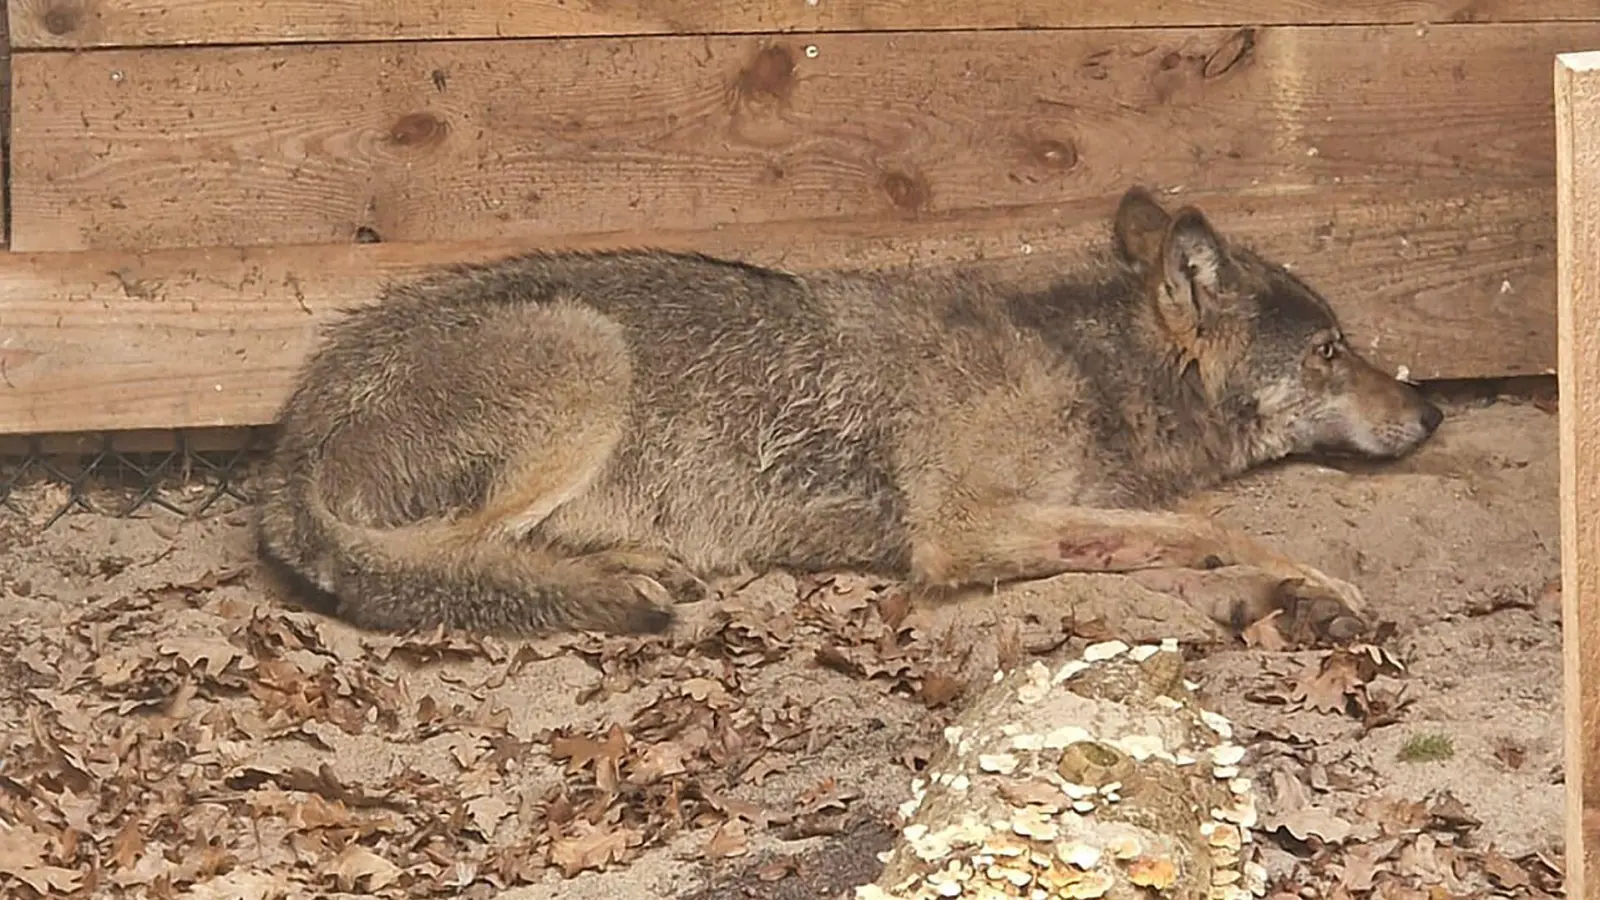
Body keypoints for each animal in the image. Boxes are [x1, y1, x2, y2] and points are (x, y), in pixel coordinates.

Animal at [255, 187, 1443, 643]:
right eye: (1332, 351)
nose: (1431, 410)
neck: (1084, 369)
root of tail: (286, 446)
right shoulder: (960, 532)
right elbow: (1211, 528)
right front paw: (1309, 584)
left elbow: (1164, 547)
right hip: (586, 356)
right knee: (436, 565)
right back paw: (617, 582)